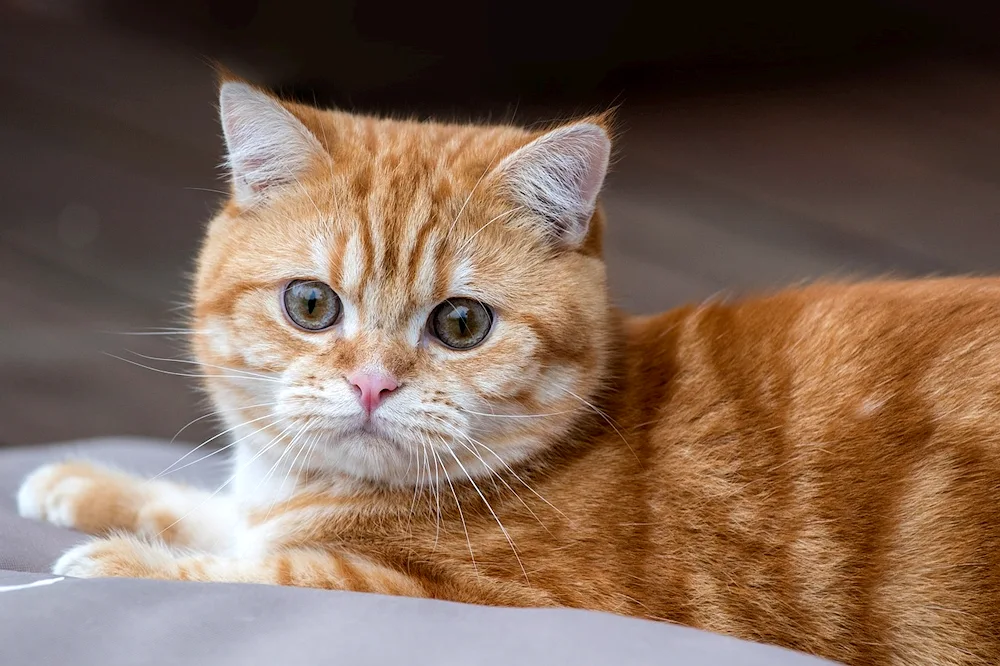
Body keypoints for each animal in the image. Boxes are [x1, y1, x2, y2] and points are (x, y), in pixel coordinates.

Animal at [13, 79, 1000, 664]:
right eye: (311, 306)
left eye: (461, 324)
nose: (372, 384)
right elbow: (221, 511)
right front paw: (85, 483)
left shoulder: (474, 597)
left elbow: (250, 566)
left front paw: (111, 563)